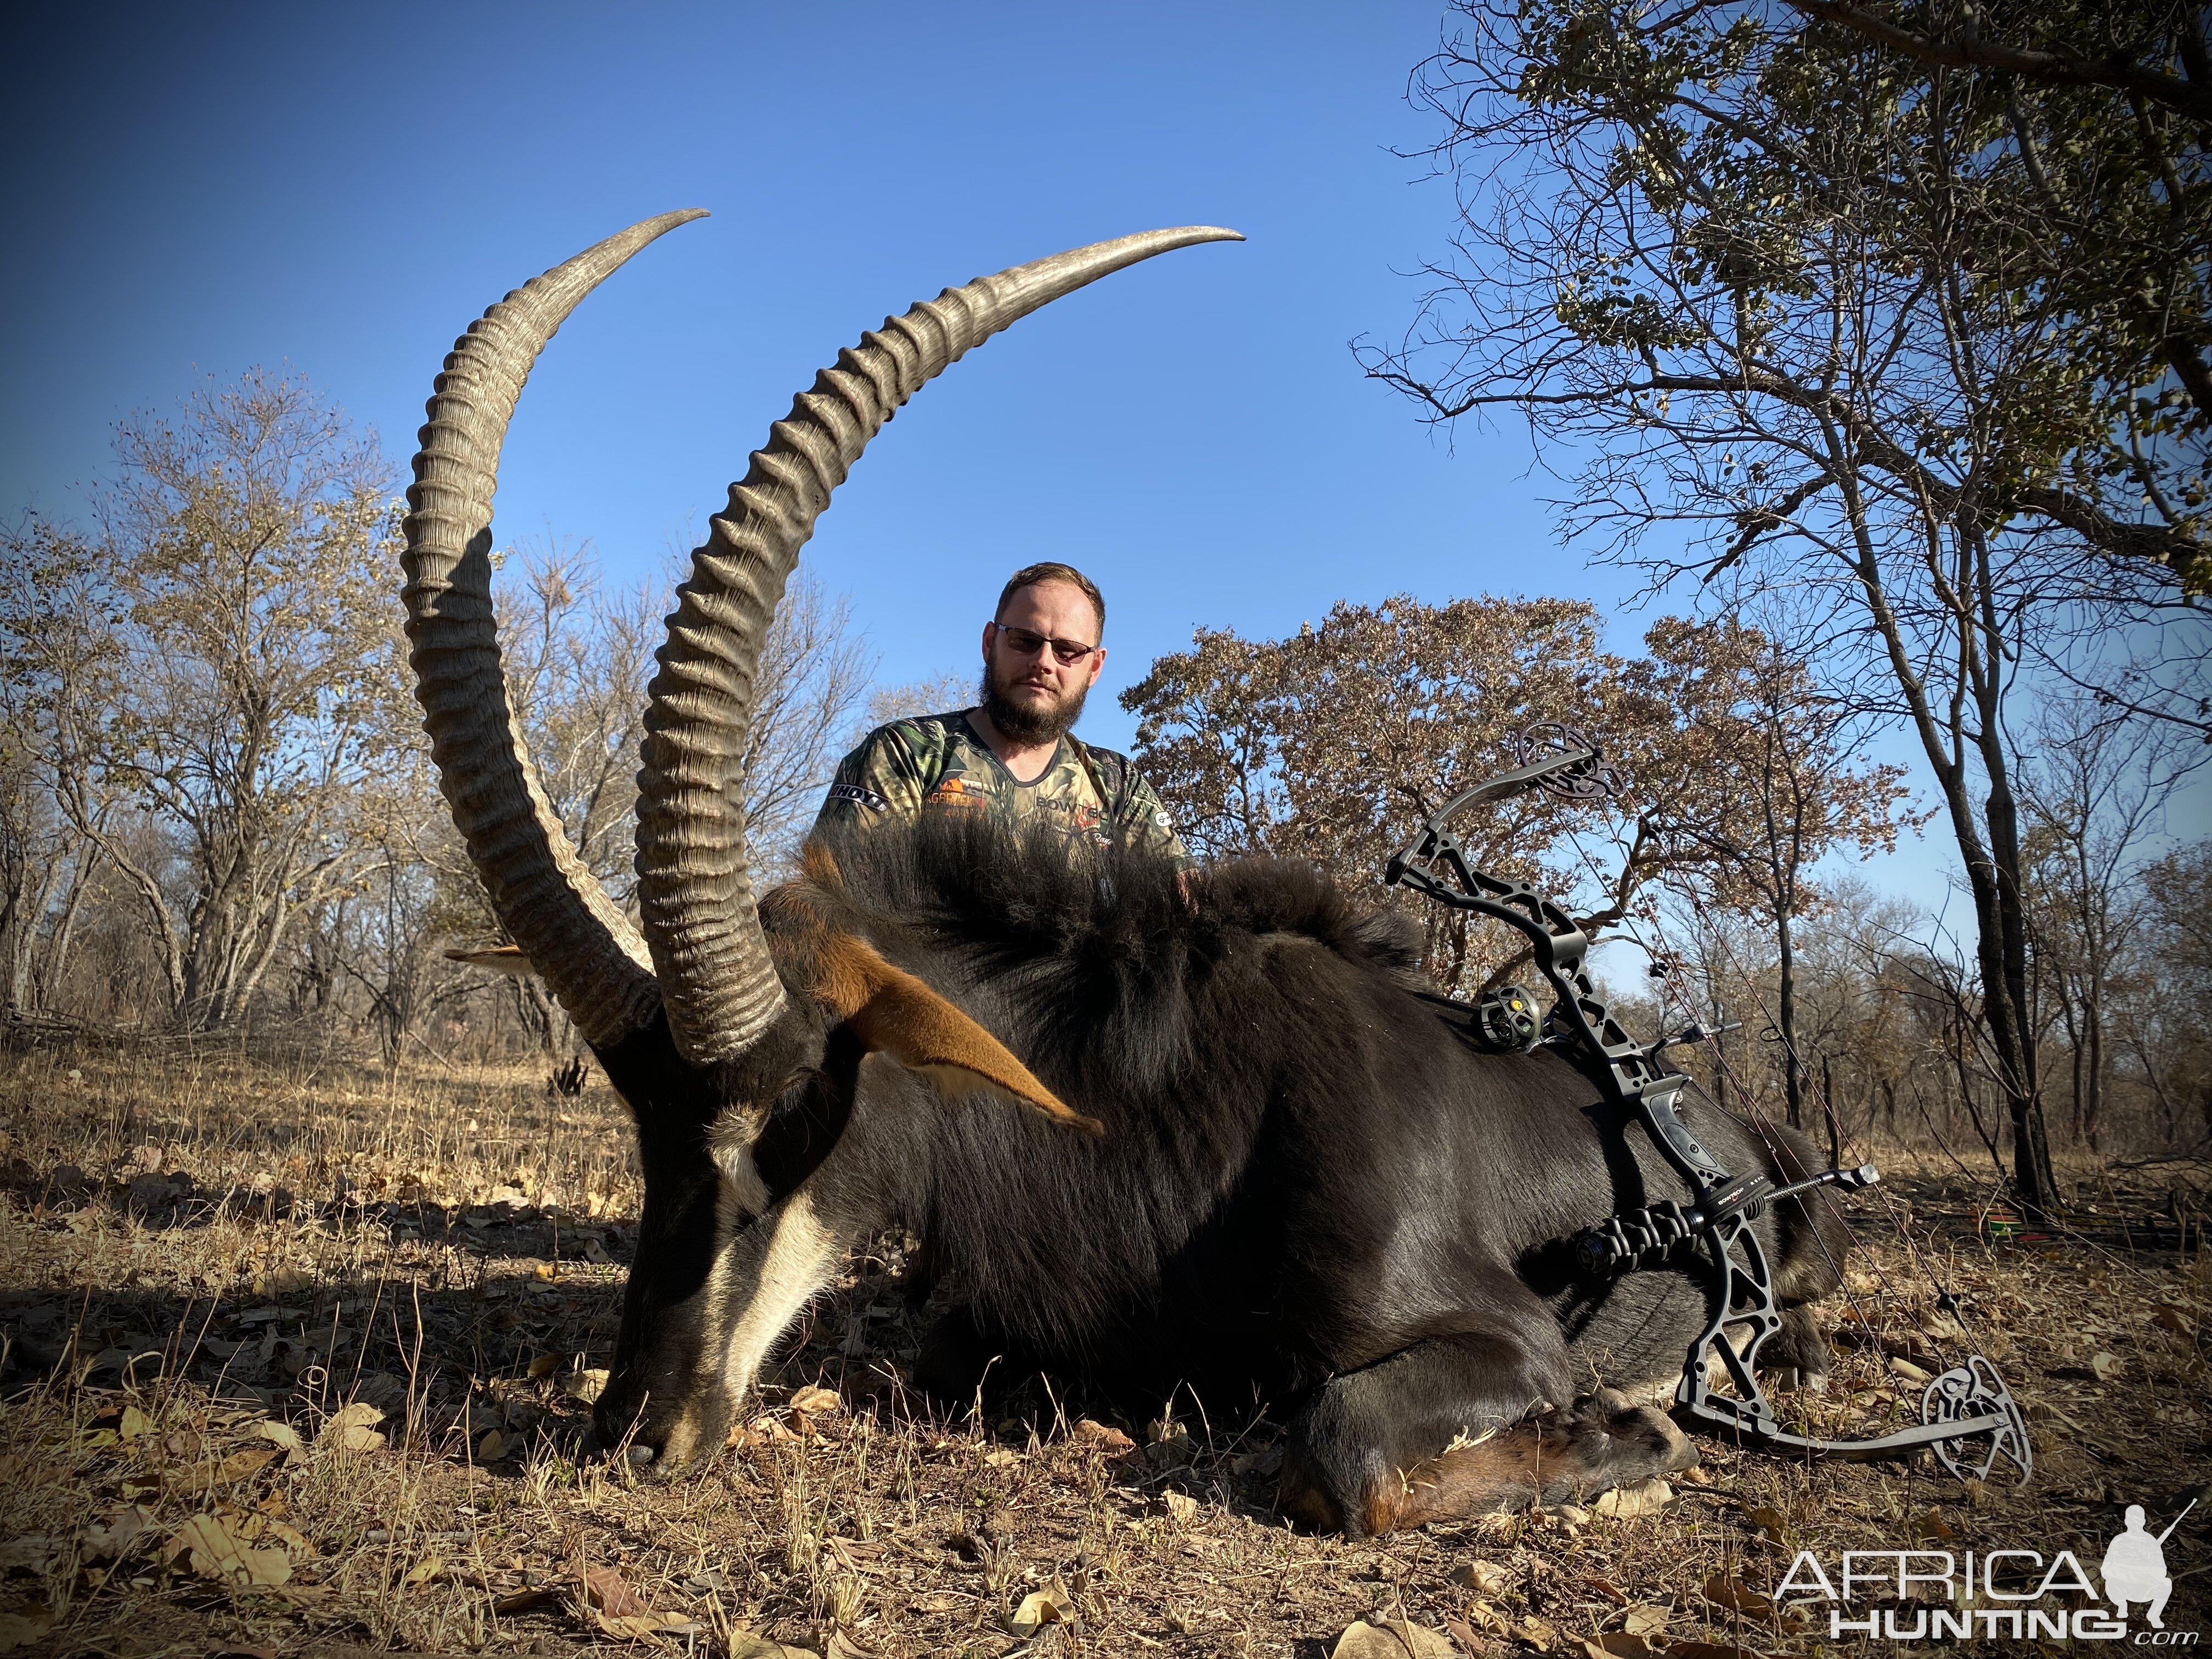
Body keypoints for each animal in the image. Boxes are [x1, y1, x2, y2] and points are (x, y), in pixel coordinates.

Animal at [402, 215, 1849, 1539]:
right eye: (644, 1126)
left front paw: (1637, 1432)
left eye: (798, 1105)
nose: (636, 1430)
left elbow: (1344, 1455)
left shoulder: (1502, 1336)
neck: (1166, 1112)